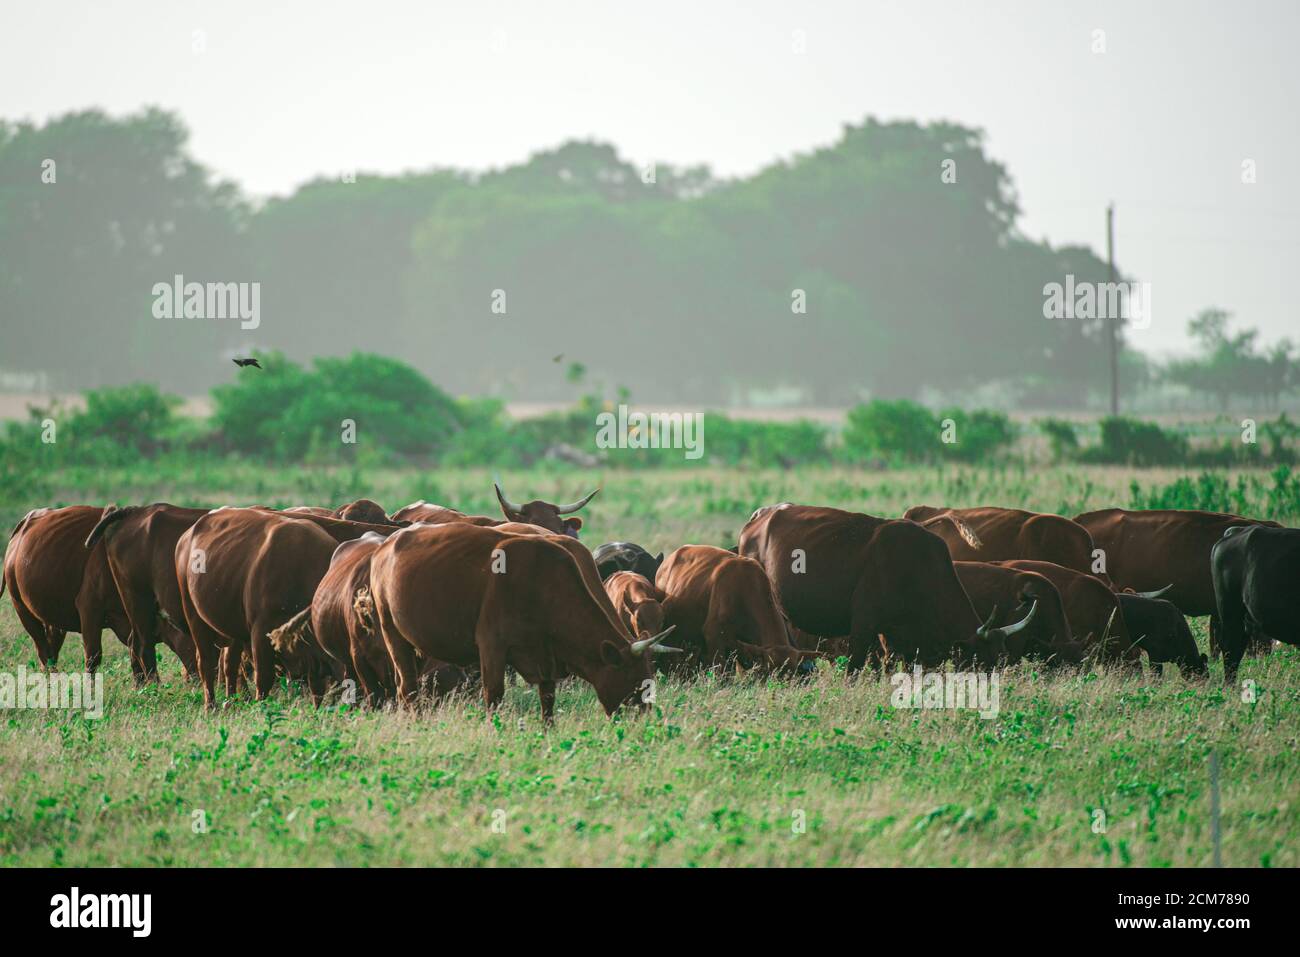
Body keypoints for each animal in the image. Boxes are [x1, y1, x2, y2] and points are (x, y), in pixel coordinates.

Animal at [366, 523, 678, 719]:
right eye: (635, 682)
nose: (642, 720)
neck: (542, 583)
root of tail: (387, 545)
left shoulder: (546, 658)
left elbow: (548, 699)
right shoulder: (492, 647)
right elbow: (494, 696)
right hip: (392, 633)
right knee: (407, 688)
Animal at [737, 505, 1036, 670]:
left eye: (1002, 658)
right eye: (983, 660)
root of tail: (761, 515)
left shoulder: (896, 638)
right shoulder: (864, 627)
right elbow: (855, 669)